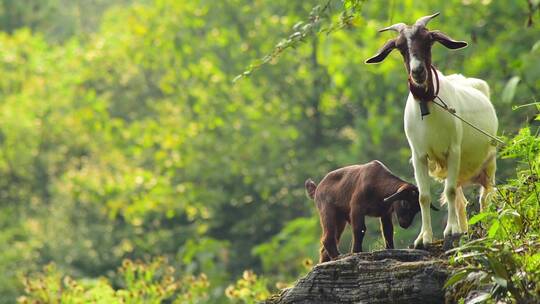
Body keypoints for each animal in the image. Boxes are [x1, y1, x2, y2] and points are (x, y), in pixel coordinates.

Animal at [368, 13, 498, 248]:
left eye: (428, 41)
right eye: (400, 47)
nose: (417, 71)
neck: (428, 105)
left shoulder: (453, 150)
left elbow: (450, 191)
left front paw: (450, 231)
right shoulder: (418, 156)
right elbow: (424, 196)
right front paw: (425, 238)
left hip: (489, 160)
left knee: (485, 195)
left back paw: (479, 226)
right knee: (462, 199)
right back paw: (463, 229)